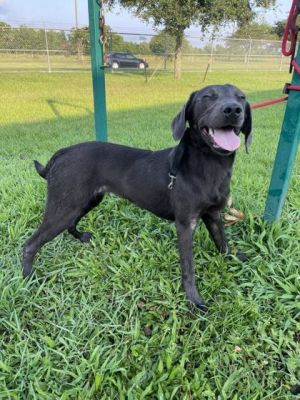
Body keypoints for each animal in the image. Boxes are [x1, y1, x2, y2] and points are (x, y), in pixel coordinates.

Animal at [22, 83, 251, 310]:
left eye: (241, 97)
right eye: (208, 96)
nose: (233, 110)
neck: (210, 164)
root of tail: (63, 152)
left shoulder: (213, 215)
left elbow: (222, 242)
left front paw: (234, 257)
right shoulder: (185, 224)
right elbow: (188, 268)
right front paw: (194, 300)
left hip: (84, 201)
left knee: (70, 223)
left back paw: (80, 238)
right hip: (64, 207)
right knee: (30, 244)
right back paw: (29, 278)